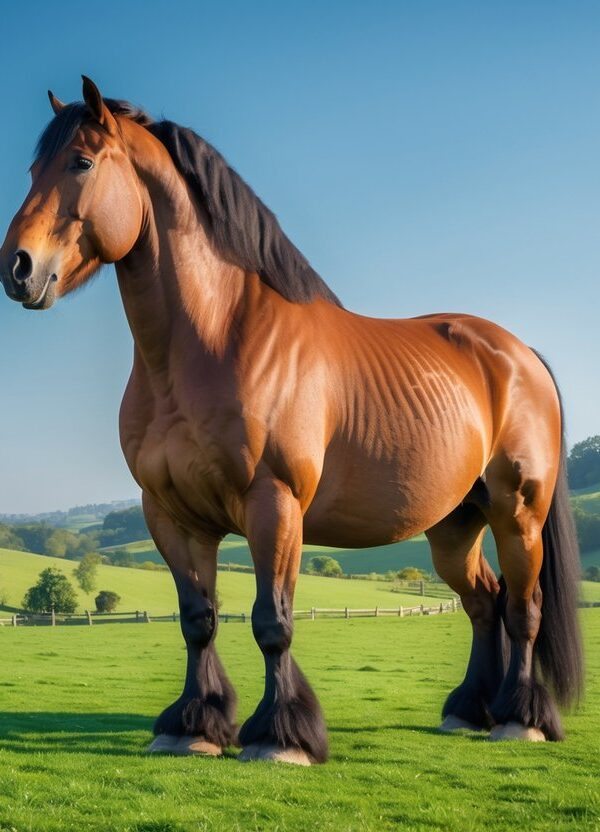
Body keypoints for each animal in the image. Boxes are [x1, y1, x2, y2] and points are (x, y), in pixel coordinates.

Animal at [0, 77, 583, 765]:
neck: (214, 341)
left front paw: (281, 735)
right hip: (453, 526)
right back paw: (468, 711)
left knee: (523, 609)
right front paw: (192, 726)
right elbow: (197, 620)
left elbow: (272, 622)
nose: (17, 267)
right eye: (34, 169)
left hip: (518, 512)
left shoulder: (273, 504)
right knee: (484, 604)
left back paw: (520, 718)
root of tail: (519, 356)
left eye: (82, 163)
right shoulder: (170, 513)